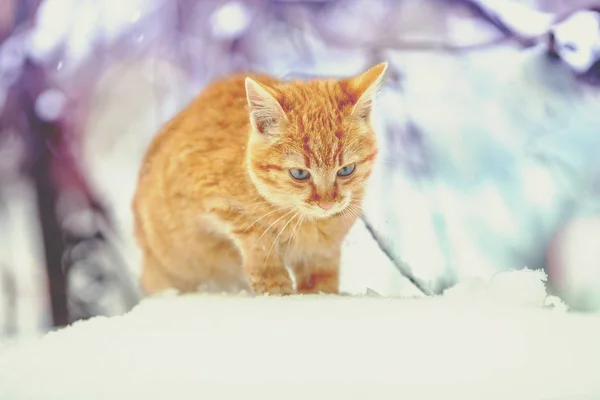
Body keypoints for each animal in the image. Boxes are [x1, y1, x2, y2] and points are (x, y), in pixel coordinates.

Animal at [133, 61, 386, 294]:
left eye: (346, 170)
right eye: (299, 174)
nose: (327, 204)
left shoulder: (324, 250)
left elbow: (321, 272)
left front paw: (320, 293)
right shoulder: (215, 200)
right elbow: (257, 239)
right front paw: (274, 284)